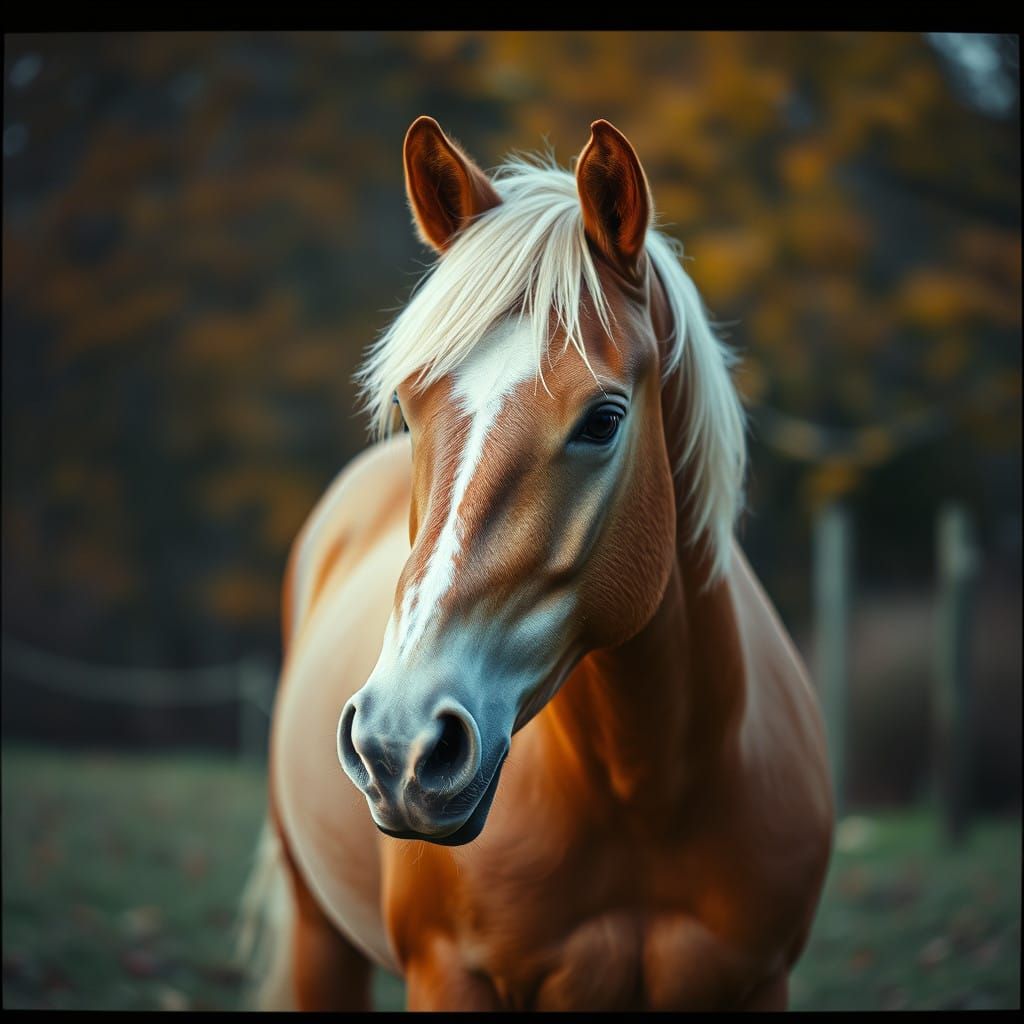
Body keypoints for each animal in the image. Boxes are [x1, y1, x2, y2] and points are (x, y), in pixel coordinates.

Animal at [239, 115, 833, 1012]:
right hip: (319, 936)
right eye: (408, 406)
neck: (645, 792)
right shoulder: (448, 975)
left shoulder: (761, 981)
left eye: (603, 419)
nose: (399, 745)